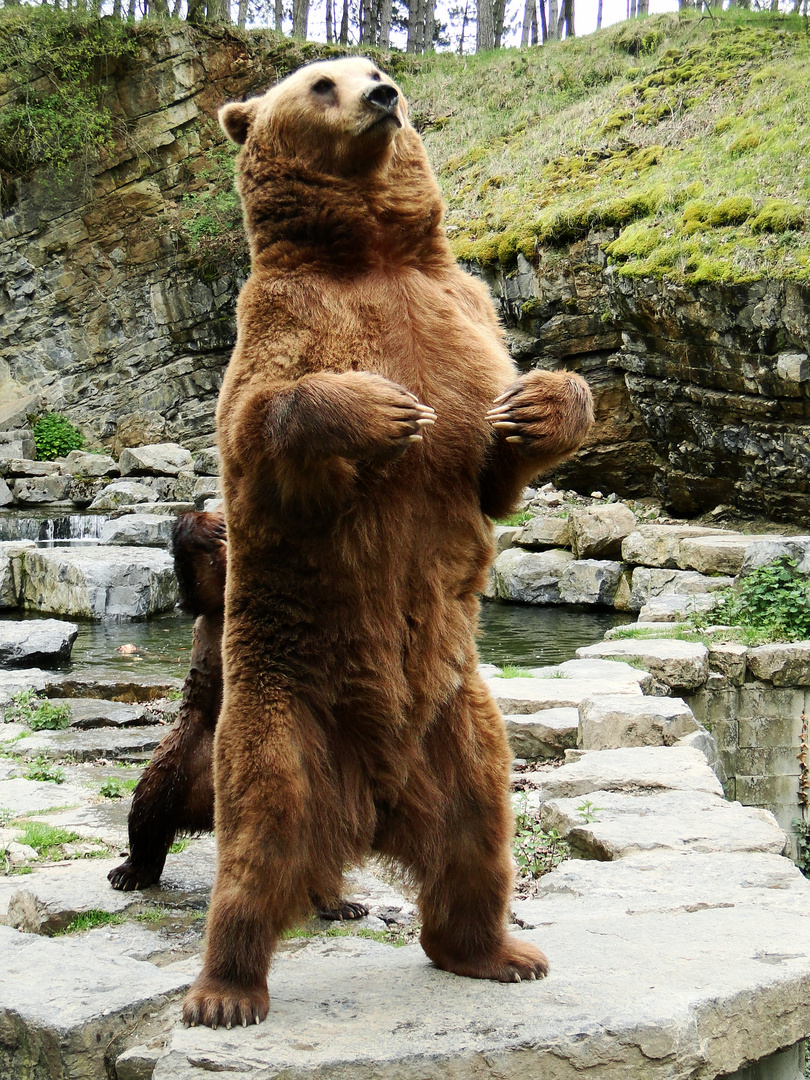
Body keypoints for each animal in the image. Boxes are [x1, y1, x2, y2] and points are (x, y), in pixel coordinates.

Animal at [180, 56, 591, 1028]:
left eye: (369, 68)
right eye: (319, 83)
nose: (385, 95)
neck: (370, 252)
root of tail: (371, 804)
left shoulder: (465, 312)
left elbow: (495, 460)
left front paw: (541, 405)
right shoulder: (280, 326)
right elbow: (269, 421)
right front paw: (384, 409)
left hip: (463, 723)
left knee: (480, 833)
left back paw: (499, 951)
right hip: (279, 711)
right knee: (256, 841)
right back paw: (225, 990)